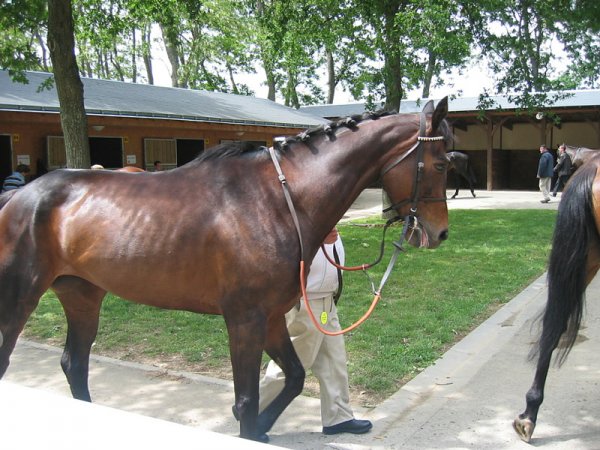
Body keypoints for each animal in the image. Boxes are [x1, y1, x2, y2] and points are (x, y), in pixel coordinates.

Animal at [0, 97, 450, 440]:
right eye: (442, 163)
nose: (440, 232)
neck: (277, 200)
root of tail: (20, 196)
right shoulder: (244, 319)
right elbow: (247, 400)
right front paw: (251, 426)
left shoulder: (271, 316)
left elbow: (294, 377)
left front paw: (263, 427)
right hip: (21, 297)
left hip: (82, 295)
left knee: (75, 364)